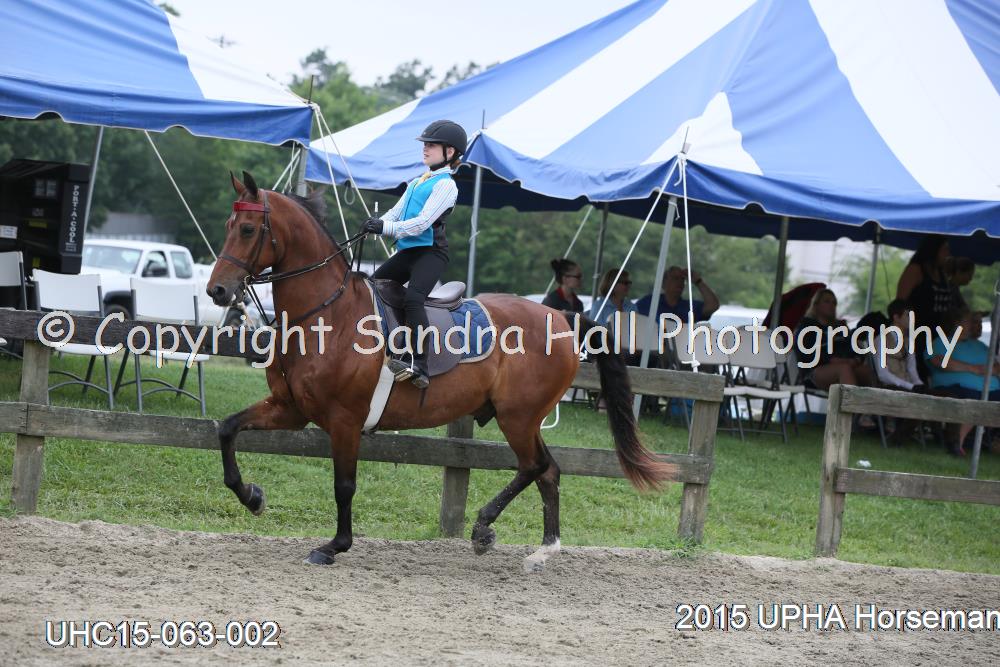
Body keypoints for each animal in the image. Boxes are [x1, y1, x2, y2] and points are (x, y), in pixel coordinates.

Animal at [207, 171, 673, 571]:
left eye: (247, 229)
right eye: (228, 223)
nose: (218, 290)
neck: (327, 314)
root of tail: (560, 317)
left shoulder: (344, 421)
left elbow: (344, 486)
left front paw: (334, 546)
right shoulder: (290, 408)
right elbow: (228, 429)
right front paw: (252, 497)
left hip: (518, 417)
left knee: (535, 466)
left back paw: (484, 528)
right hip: (524, 417)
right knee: (549, 470)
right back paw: (543, 549)